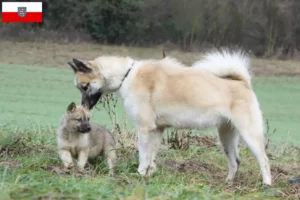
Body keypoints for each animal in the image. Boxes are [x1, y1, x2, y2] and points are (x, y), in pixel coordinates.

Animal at [67, 49, 272, 185]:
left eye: (84, 87)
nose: (84, 107)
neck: (126, 76)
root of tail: (243, 82)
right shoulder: (157, 130)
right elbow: (151, 156)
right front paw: (149, 174)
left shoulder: (144, 129)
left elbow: (143, 155)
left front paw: (140, 174)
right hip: (226, 136)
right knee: (235, 162)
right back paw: (227, 182)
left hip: (249, 134)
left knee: (264, 160)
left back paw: (267, 185)